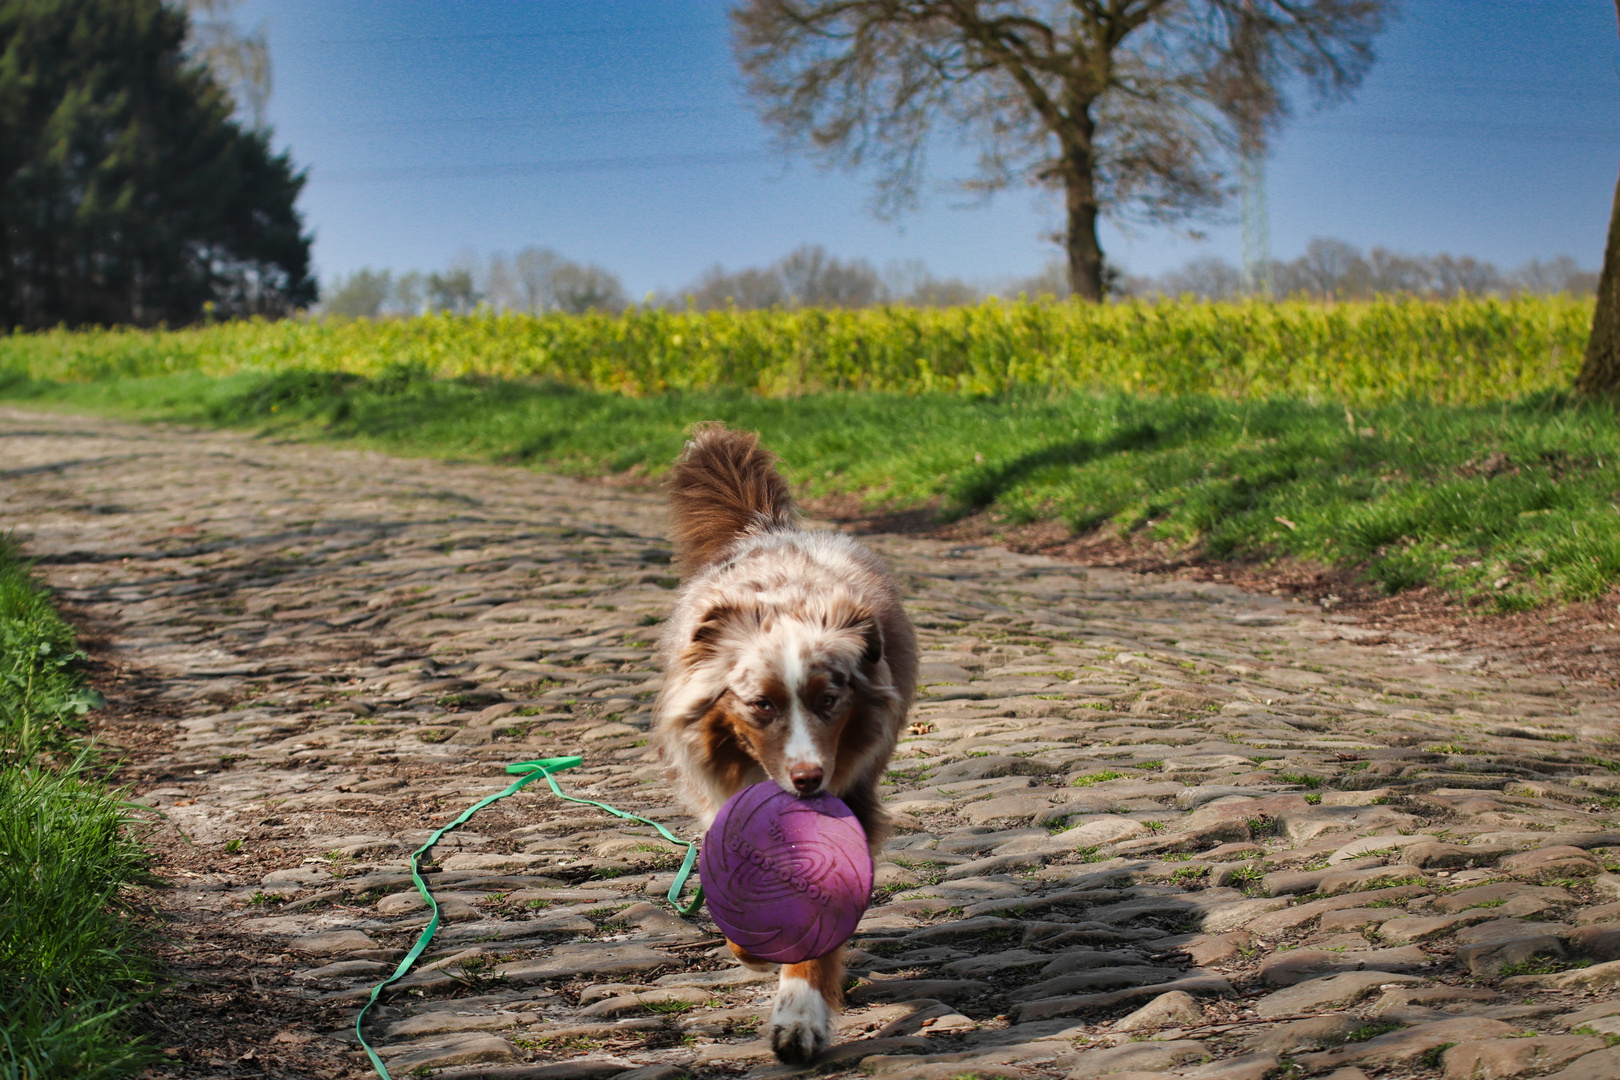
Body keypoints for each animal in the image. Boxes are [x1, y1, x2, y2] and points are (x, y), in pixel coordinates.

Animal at [651, 420, 920, 1062]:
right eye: (761, 704)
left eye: (829, 700)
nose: (808, 779)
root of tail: (767, 530)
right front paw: (752, 950)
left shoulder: (851, 802)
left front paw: (800, 1018)